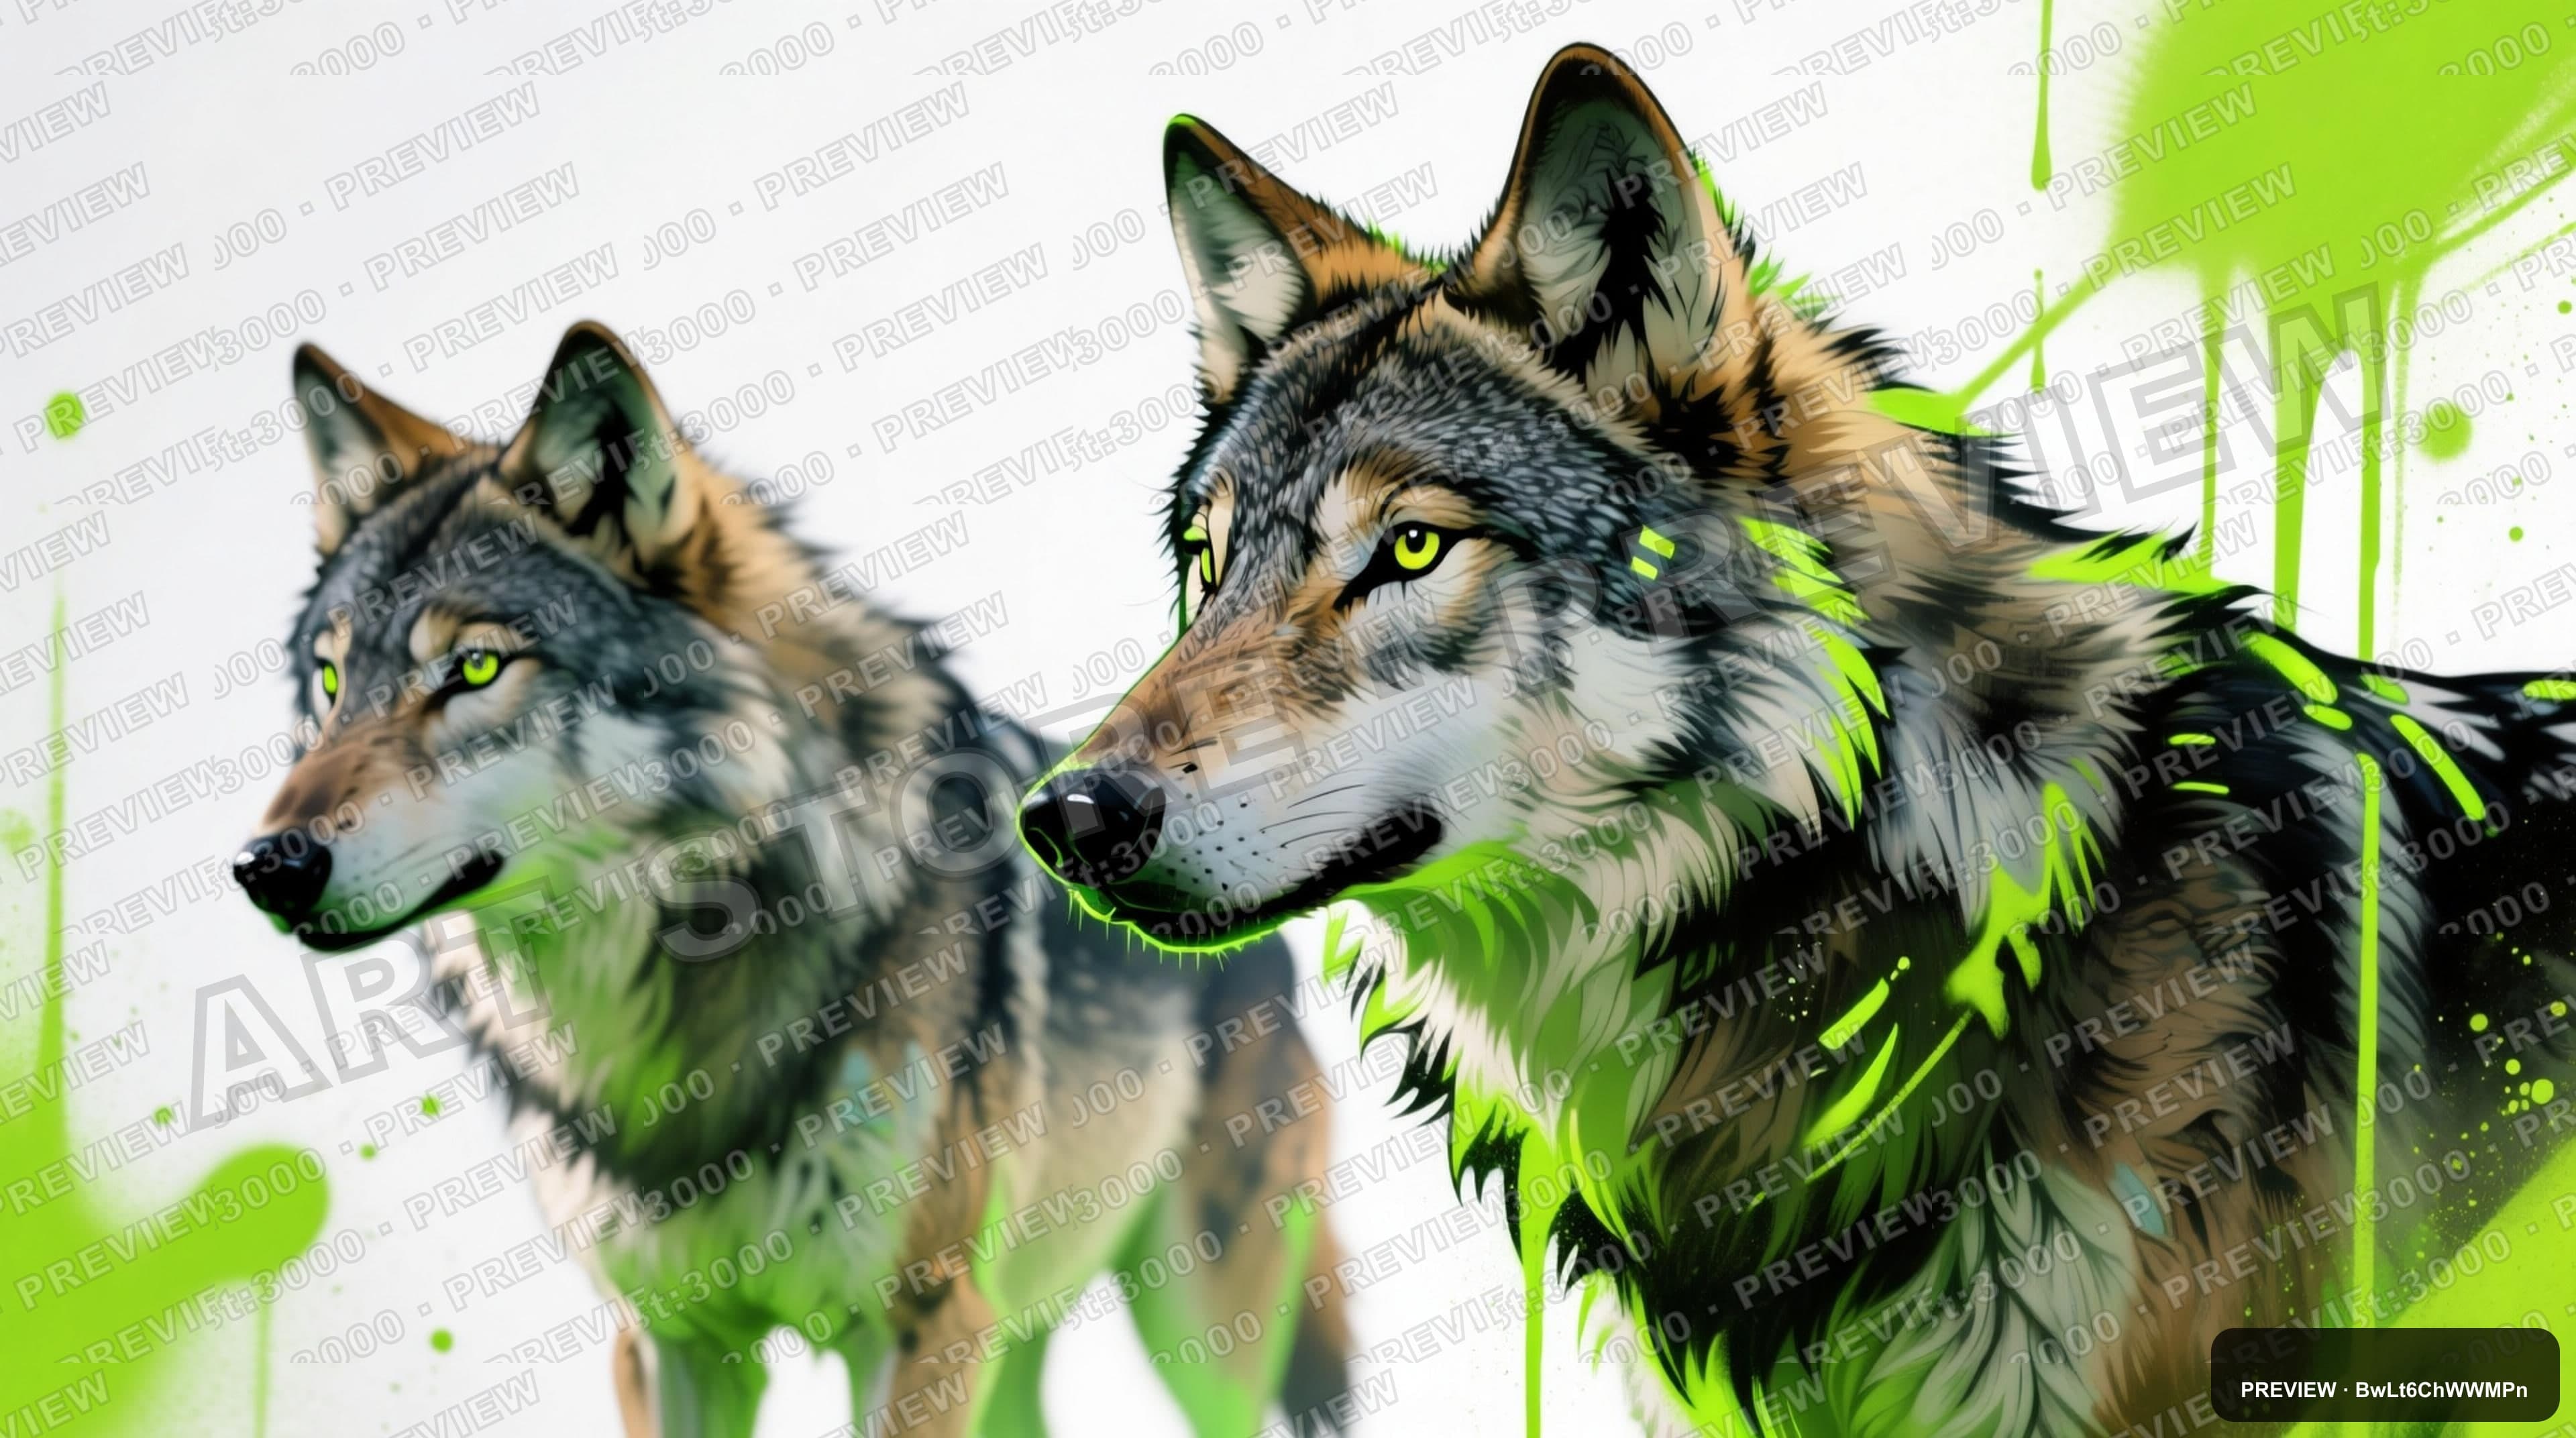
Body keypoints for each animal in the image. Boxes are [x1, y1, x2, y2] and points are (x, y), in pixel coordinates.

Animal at [230, 322, 1350, 1438]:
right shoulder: (669, 1342)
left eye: (472, 670)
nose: (265, 867)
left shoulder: (918, 1323)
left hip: (1196, 1332)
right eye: (331, 682)